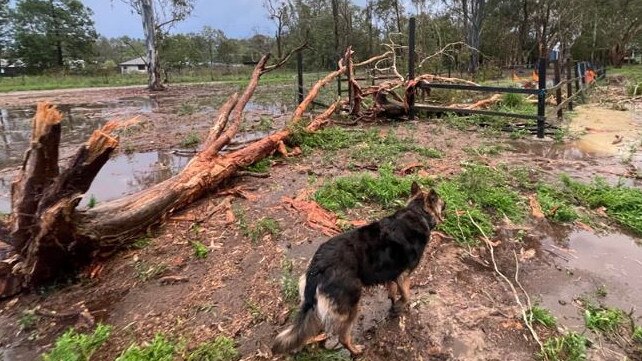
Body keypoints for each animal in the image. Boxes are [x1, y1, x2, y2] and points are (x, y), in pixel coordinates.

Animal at [270, 181, 444, 356]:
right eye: (440, 200)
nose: (446, 204)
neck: (417, 213)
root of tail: (318, 267)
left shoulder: (392, 273)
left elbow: (392, 289)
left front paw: (393, 300)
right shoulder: (403, 275)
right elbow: (407, 296)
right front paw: (399, 306)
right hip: (351, 305)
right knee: (343, 337)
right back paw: (355, 350)